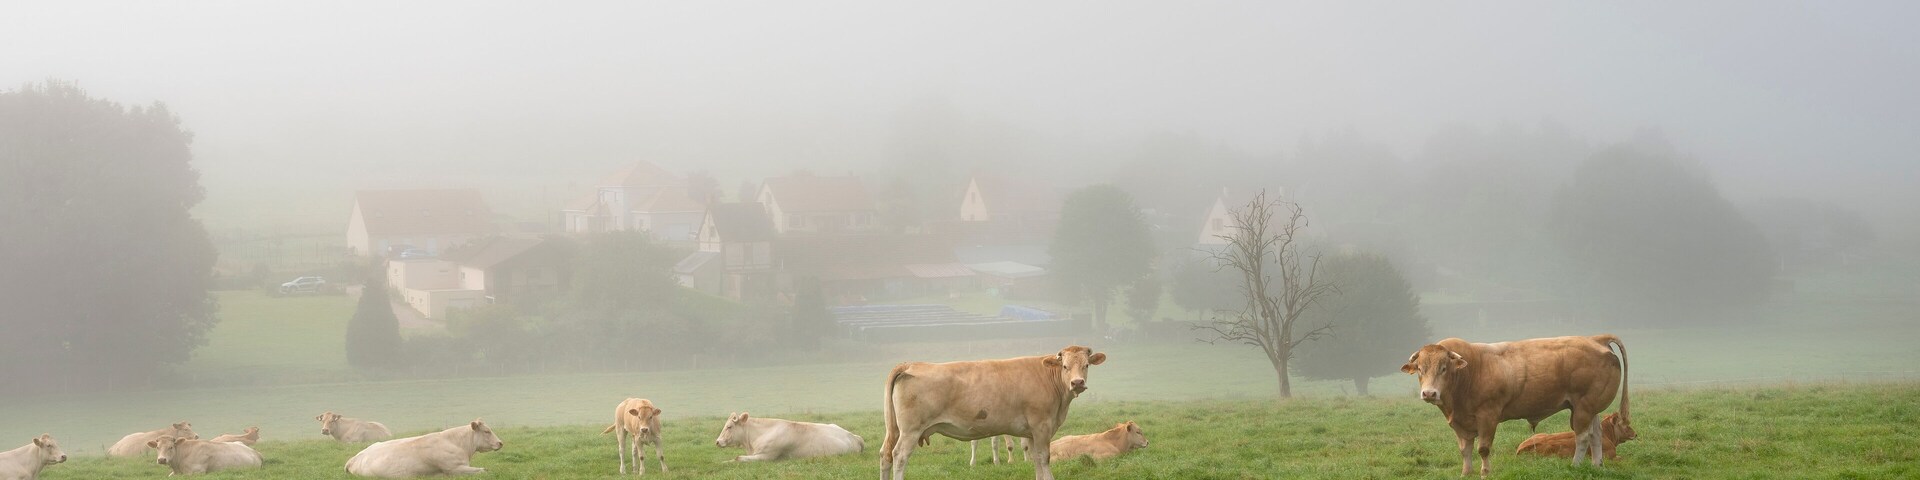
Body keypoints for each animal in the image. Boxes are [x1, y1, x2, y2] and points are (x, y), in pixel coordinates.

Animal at [880, 345, 1107, 480]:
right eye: (1065, 366)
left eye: (1086, 365)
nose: (1077, 383)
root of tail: (910, 364)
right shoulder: (1042, 426)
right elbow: (1044, 458)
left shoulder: (1032, 432)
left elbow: (1035, 459)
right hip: (910, 431)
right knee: (899, 456)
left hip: (895, 430)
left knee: (885, 455)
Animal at [1402, 335, 1629, 476]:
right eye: (1420, 369)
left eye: (1443, 368)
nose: (1429, 393)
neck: (1471, 372)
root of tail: (1595, 339)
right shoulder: (1460, 422)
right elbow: (1465, 450)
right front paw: (1466, 473)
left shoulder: (1488, 417)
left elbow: (1483, 449)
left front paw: (1485, 472)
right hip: (1590, 408)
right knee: (1596, 434)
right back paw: (1597, 466)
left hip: (1583, 407)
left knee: (1582, 437)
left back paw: (1575, 465)